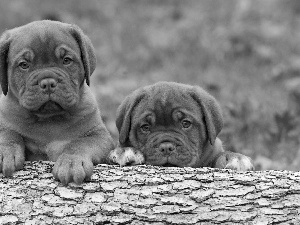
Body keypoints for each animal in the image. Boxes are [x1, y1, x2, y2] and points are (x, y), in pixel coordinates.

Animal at [0, 20, 114, 184]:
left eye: (66, 60)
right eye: (24, 65)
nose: (48, 82)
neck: (49, 119)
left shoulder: (99, 135)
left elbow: (79, 144)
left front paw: (71, 163)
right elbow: (8, 134)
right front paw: (5, 151)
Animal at [109, 81, 254, 171]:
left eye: (186, 123)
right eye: (145, 127)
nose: (166, 147)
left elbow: (220, 155)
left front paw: (234, 158)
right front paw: (125, 151)